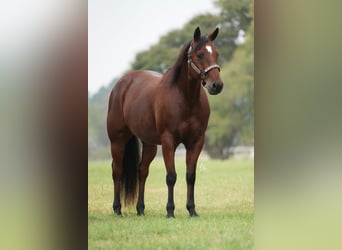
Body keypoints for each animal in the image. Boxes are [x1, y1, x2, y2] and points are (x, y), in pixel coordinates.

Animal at [107, 25, 224, 217]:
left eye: (216, 53)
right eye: (199, 55)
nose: (217, 85)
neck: (185, 99)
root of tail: (122, 84)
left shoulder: (196, 142)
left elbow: (190, 176)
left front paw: (192, 210)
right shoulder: (169, 141)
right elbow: (171, 176)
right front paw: (170, 211)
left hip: (149, 144)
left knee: (142, 171)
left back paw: (140, 209)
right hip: (117, 140)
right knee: (117, 171)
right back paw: (117, 209)